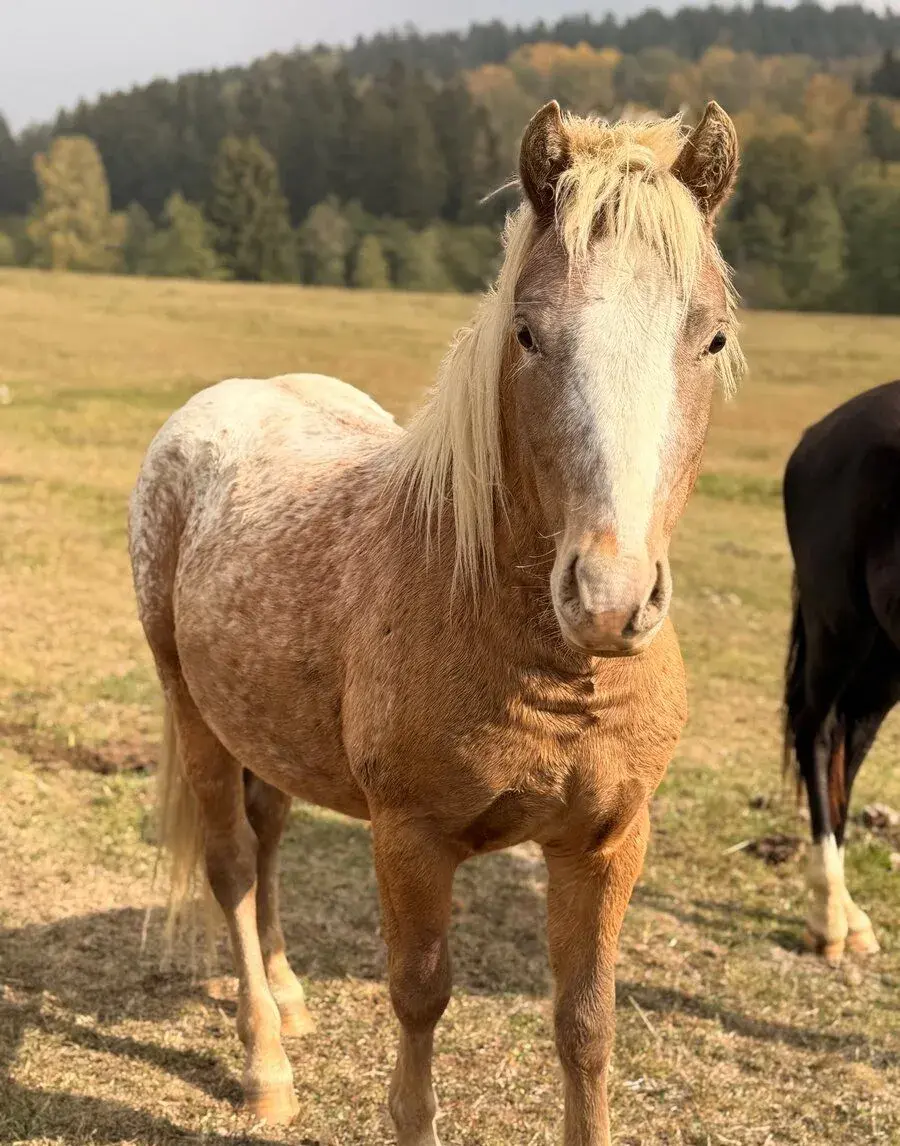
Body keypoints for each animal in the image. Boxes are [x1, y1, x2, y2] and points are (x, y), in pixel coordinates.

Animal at [129, 99, 743, 1145]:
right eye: (529, 333)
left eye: (709, 339)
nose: (610, 597)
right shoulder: (411, 839)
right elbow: (420, 998)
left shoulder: (608, 842)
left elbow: (587, 1024)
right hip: (194, 715)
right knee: (231, 866)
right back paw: (265, 1061)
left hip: (269, 735)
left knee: (269, 838)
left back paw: (289, 996)